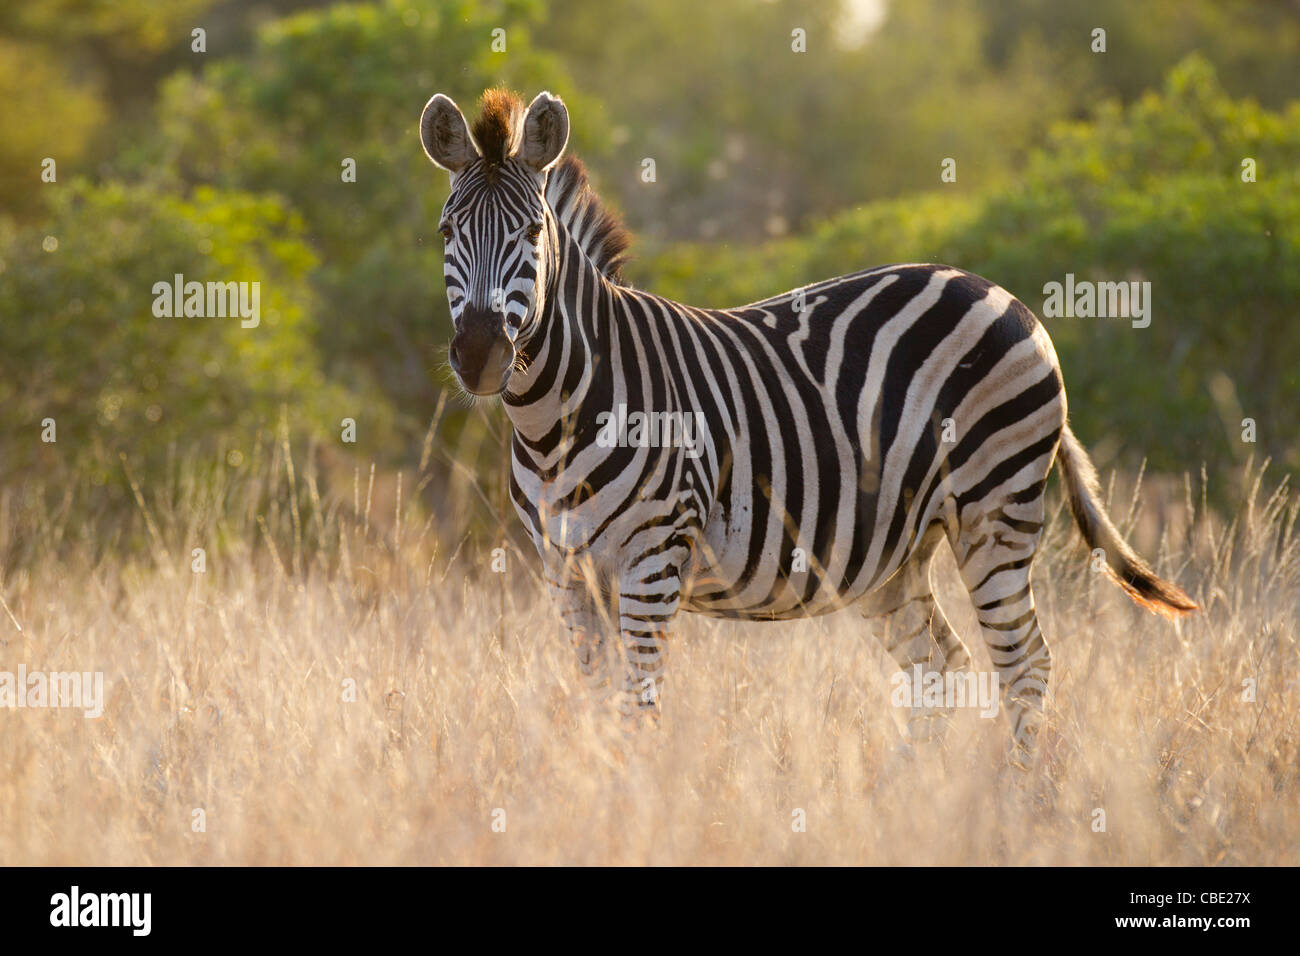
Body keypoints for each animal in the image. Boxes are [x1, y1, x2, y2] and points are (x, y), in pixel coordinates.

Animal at [418, 88, 1198, 763]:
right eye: (448, 232)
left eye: (531, 232)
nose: (482, 355)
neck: (555, 420)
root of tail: (1003, 295)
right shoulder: (565, 571)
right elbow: (597, 704)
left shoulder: (654, 557)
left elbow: (639, 706)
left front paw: (634, 799)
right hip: (895, 551)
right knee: (939, 663)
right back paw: (909, 797)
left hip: (995, 511)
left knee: (1025, 663)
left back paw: (1022, 800)